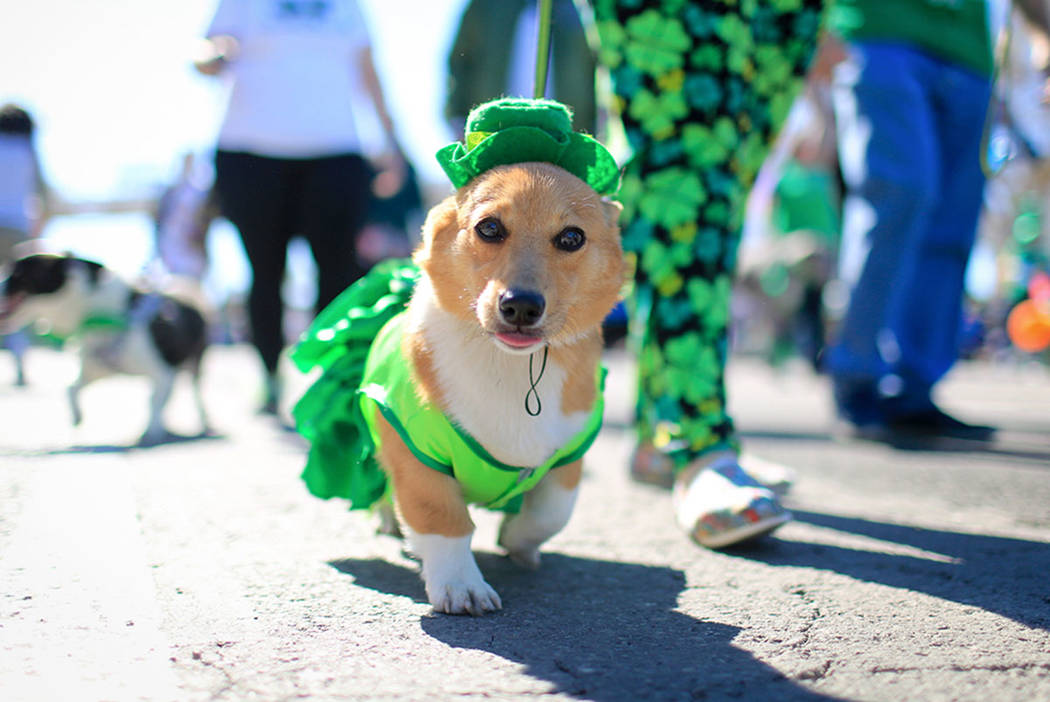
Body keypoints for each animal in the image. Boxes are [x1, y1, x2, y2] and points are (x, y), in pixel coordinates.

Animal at [0, 251, 213, 440]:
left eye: (17, 273)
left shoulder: (163, 373)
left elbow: (153, 402)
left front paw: (151, 432)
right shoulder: (97, 372)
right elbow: (71, 389)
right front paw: (77, 416)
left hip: (196, 363)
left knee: (196, 392)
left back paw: (201, 421)